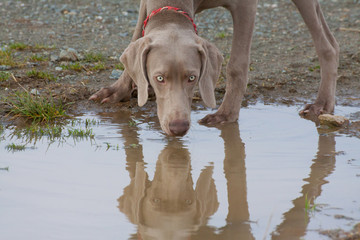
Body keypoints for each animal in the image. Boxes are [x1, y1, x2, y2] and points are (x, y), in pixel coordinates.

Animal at [89, 0, 338, 136]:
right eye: (159, 78)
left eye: (192, 78)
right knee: (330, 39)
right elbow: (135, 35)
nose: (178, 127)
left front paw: (226, 114)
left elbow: (237, 64)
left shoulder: (245, 6)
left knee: (325, 43)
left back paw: (321, 103)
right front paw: (117, 90)